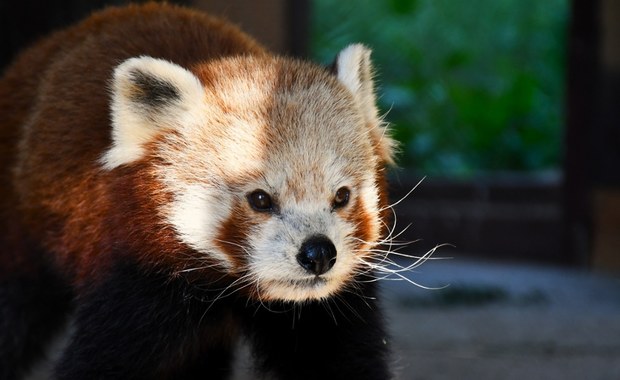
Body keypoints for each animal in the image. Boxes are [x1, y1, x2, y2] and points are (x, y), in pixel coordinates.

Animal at [0, 3, 398, 380]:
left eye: (341, 196)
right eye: (260, 199)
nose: (318, 253)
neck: (228, 289)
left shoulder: (325, 307)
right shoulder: (133, 272)